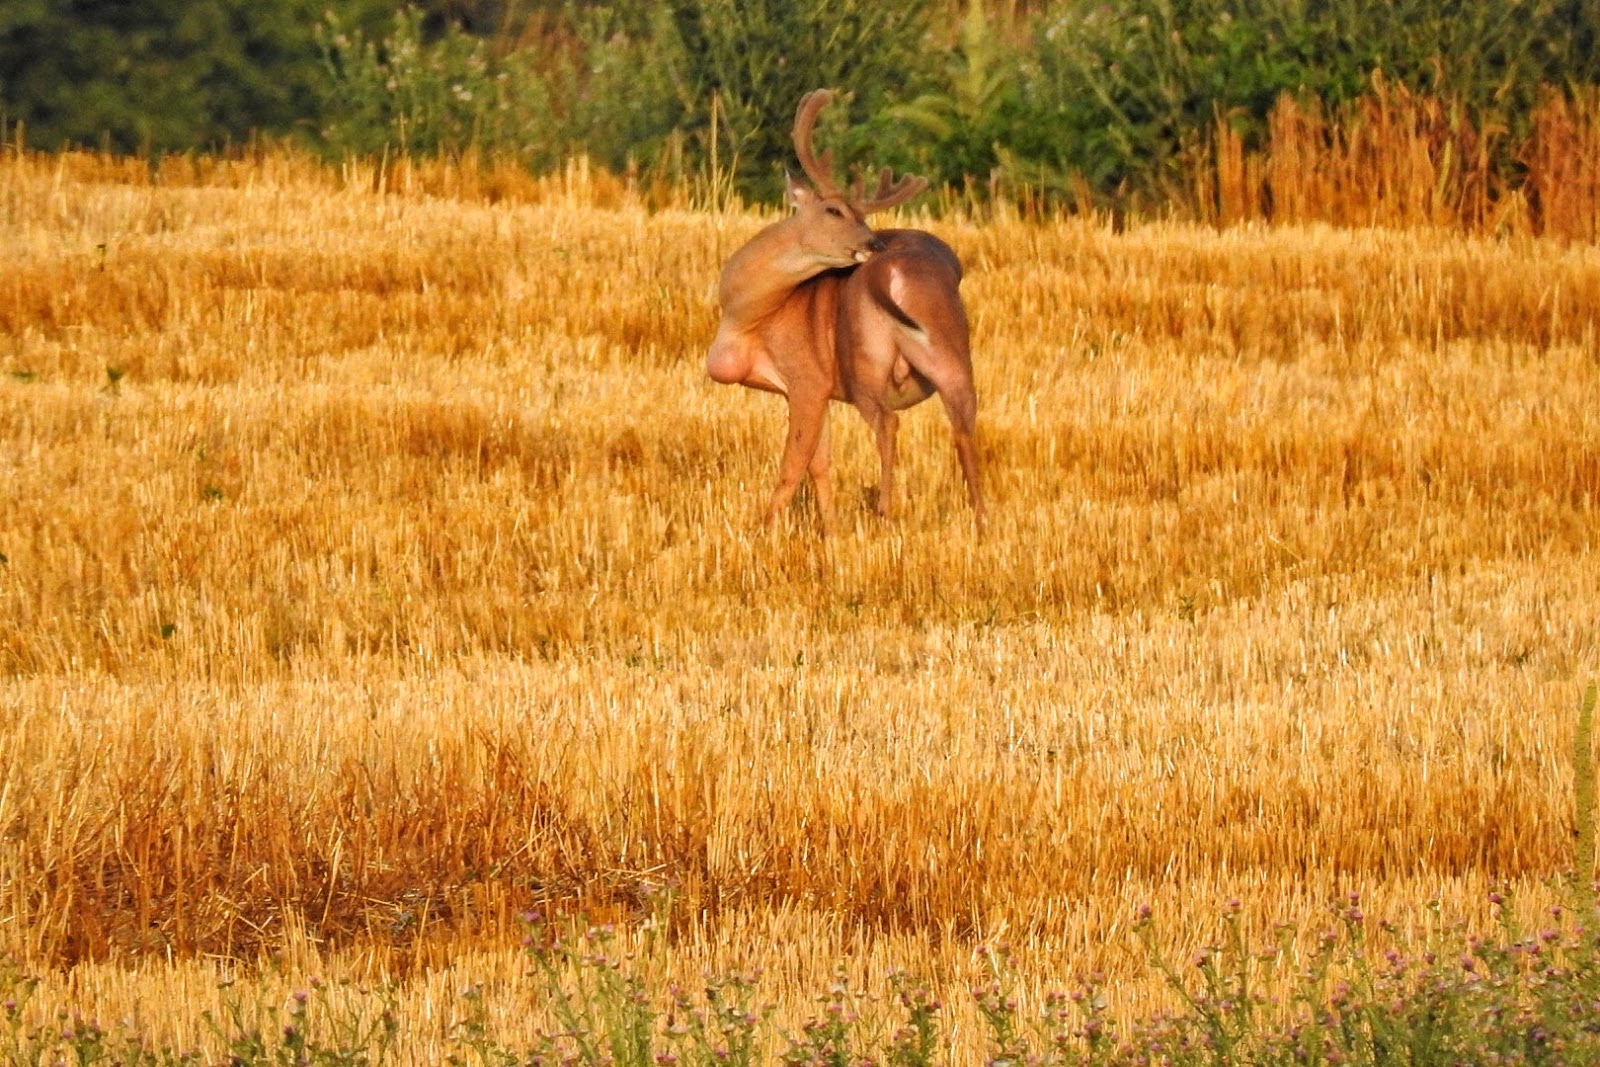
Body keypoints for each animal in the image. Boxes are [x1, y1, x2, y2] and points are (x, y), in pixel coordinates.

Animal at [706, 89, 985, 536]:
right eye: (835, 210)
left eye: (861, 215)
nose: (874, 243)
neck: (747, 315)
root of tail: (894, 270)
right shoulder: (810, 388)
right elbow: (820, 463)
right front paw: (831, 531)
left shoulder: (807, 377)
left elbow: (793, 464)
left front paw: (764, 530)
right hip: (951, 353)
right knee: (964, 427)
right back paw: (981, 522)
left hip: (863, 361)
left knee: (888, 423)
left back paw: (885, 511)